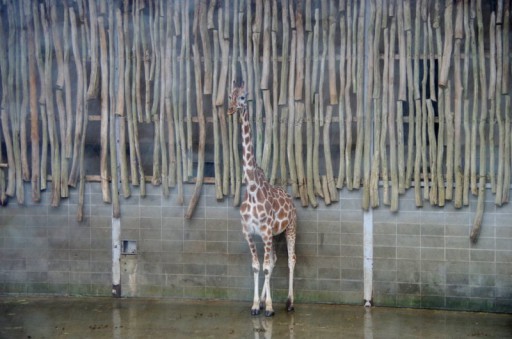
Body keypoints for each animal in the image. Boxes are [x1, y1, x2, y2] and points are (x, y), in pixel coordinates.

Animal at [227, 81, 296, 318]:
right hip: (274, 235)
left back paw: (289, 303)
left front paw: (270, 308)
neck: (252, 189)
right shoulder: (248, 232)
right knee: (273, 261)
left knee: (291, 260)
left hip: (290, 229)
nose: (230, 109)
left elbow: (265, 267)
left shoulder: (265, 233)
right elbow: (258, 266)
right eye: (229, 95)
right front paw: (257, 305)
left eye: (243, 97)